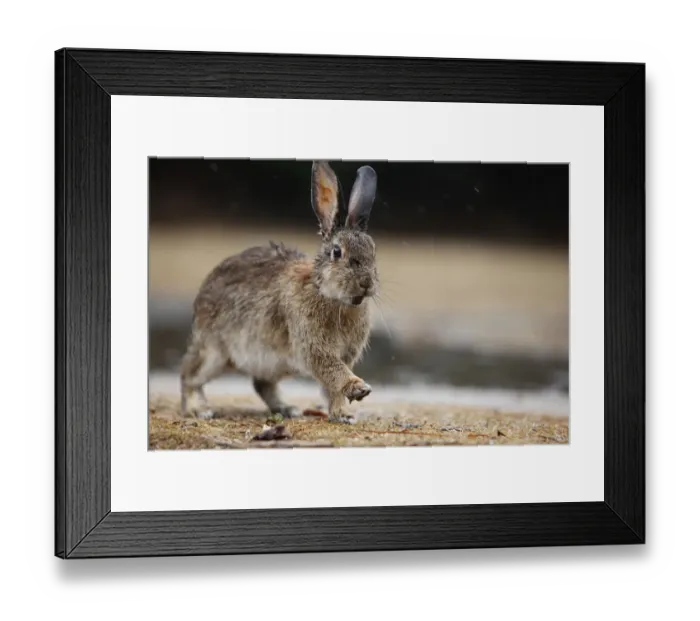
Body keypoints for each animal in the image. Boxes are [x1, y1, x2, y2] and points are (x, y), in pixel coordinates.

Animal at [180, 160, 379, 424]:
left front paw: (343, 414)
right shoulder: (313, 346)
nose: (366, 283)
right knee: (189, 374)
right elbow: (333, 372)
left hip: (272, 362)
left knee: (262, 384)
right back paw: (198, 409)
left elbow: (331, 388)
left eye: (373, 251)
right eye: (337, 252)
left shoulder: (343, 354)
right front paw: (359, 389)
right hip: (214, 353)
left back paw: (287, 409)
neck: (327, 295)